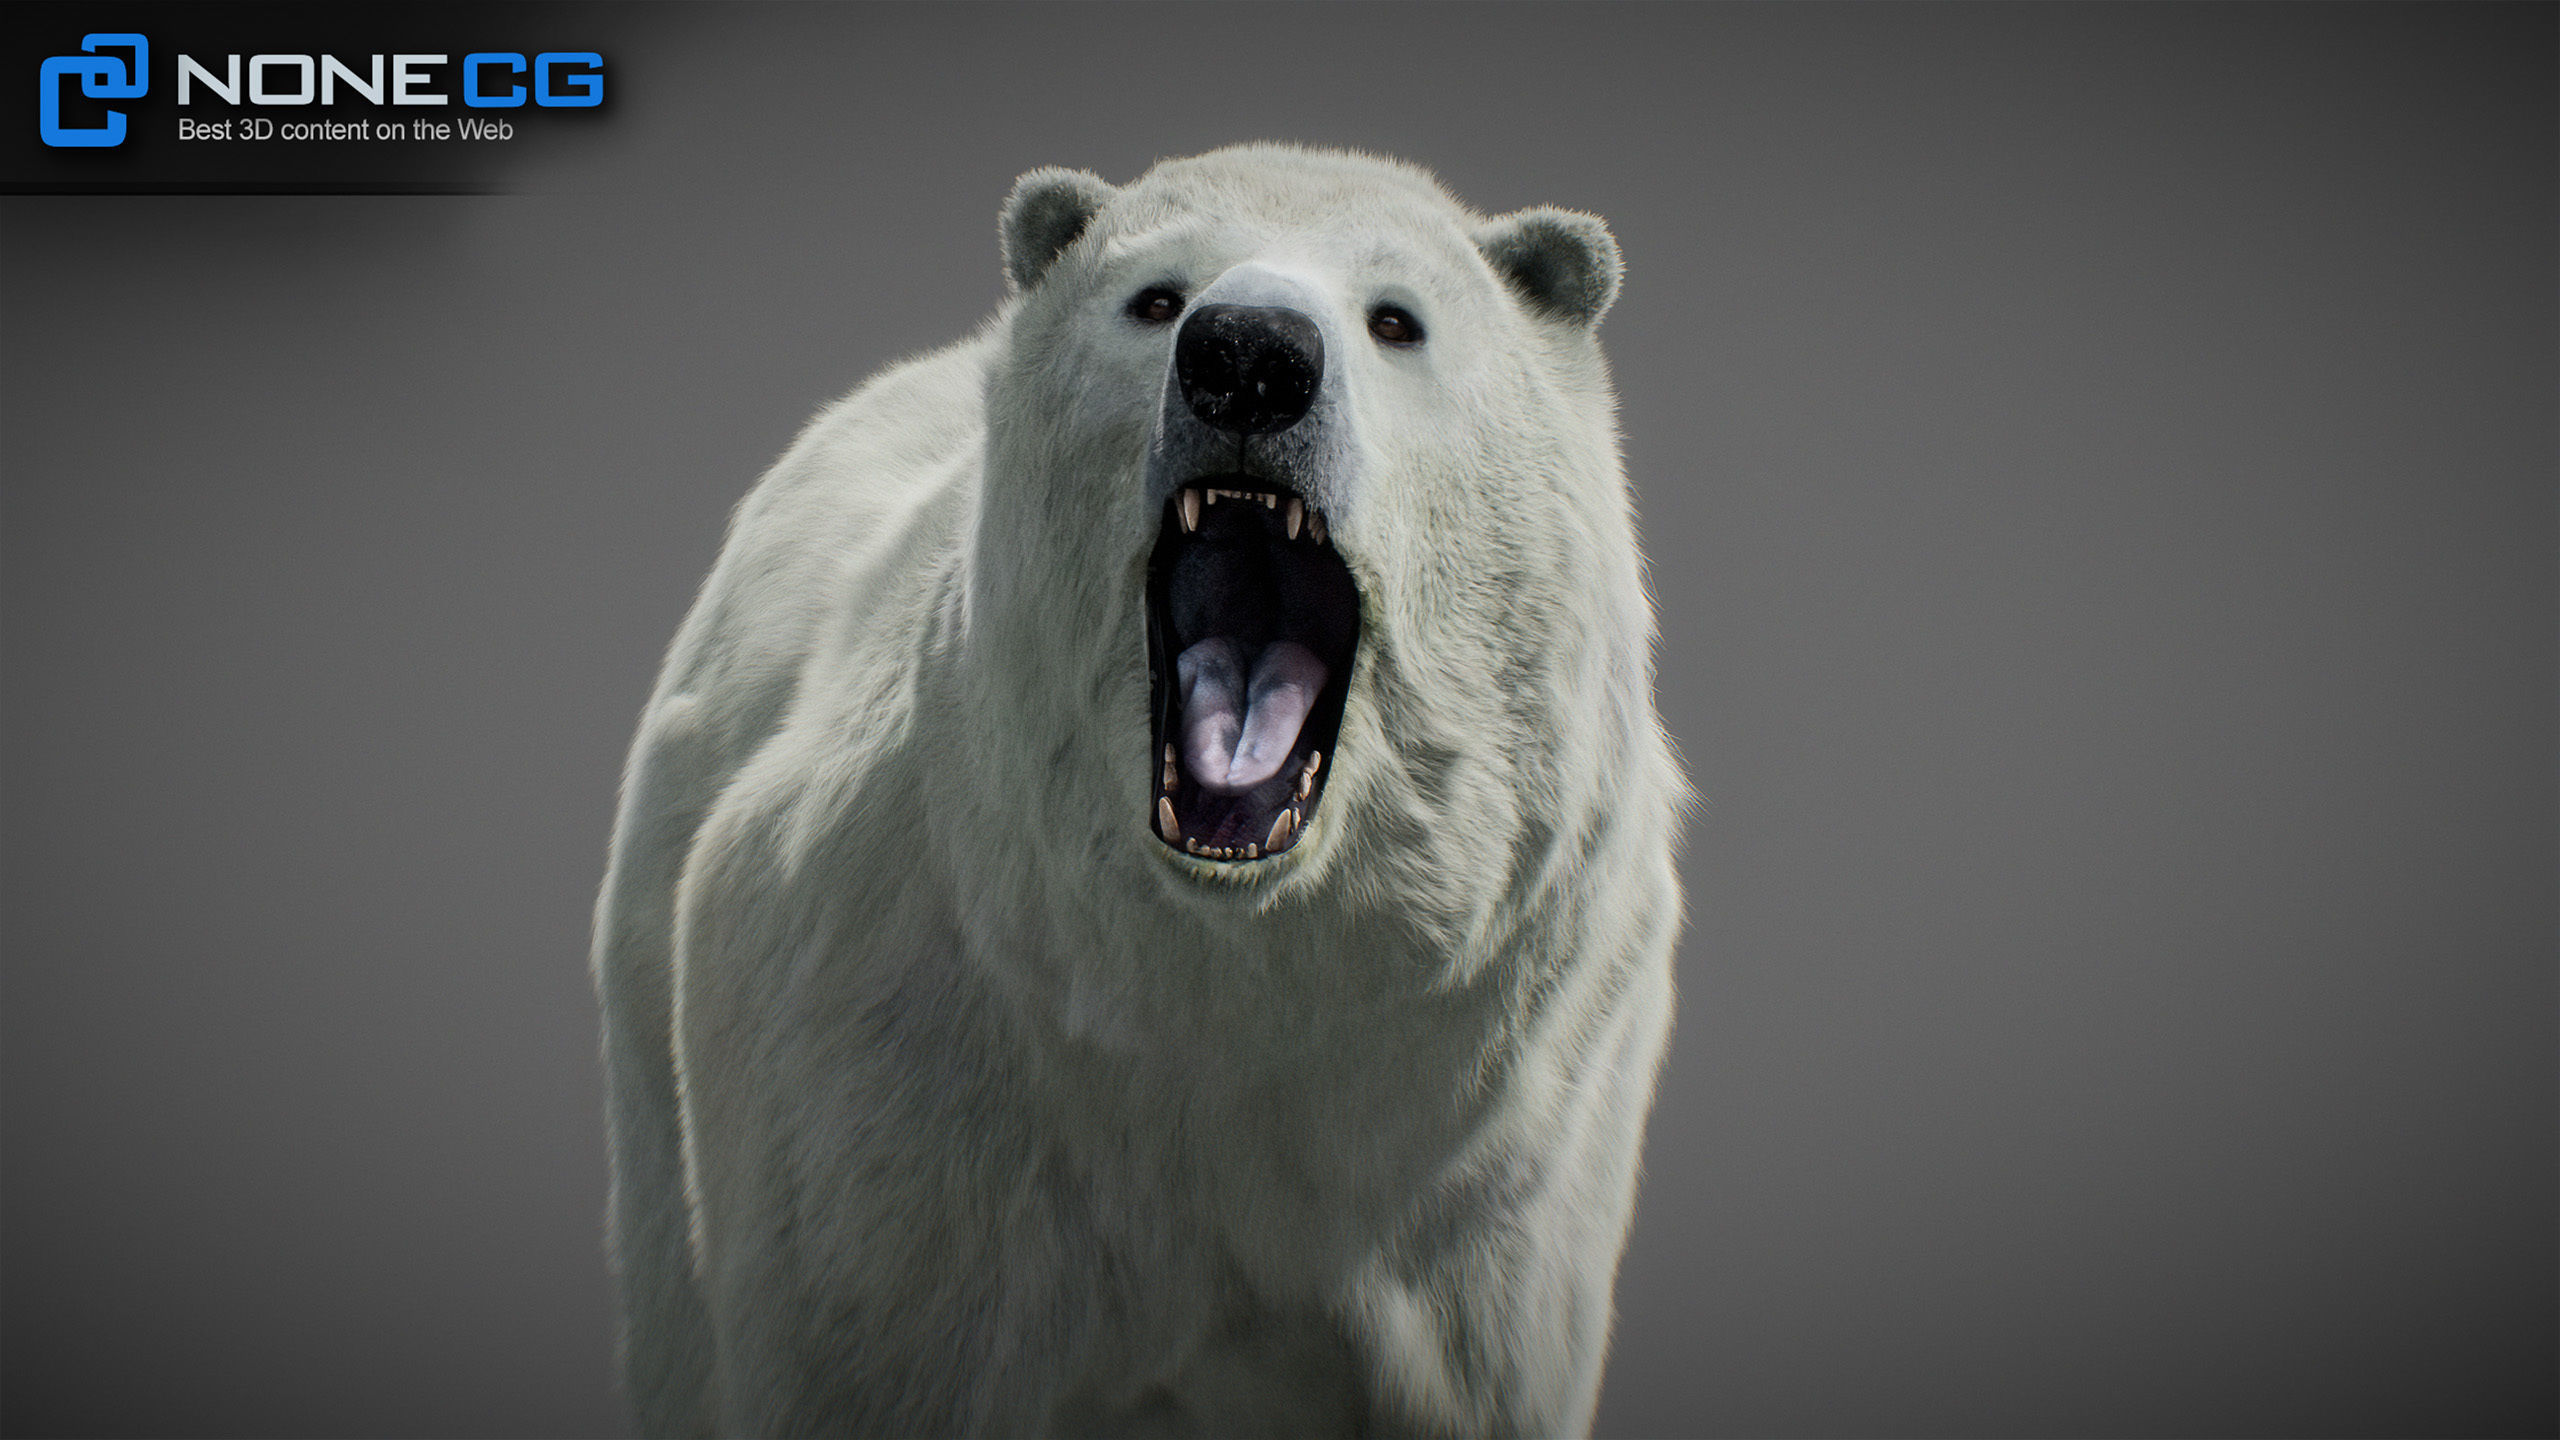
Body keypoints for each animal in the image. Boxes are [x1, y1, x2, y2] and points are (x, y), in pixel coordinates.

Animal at [591, 144, 1685, 1439]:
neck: (1209, 979)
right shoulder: (899, 1079)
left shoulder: (1485, 1178)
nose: (1250, 359)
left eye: (1396, 320)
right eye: (1154, 298)